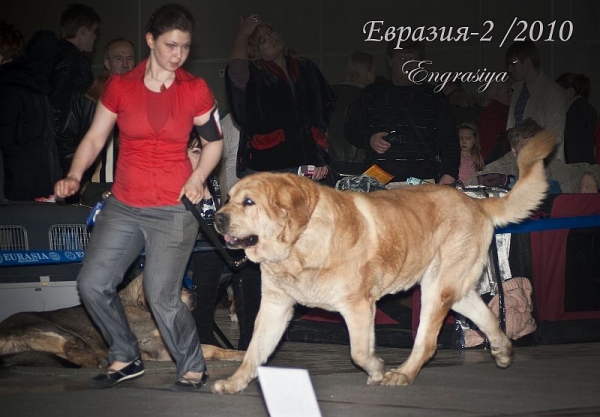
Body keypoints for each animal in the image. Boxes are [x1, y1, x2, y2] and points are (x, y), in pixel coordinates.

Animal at [0, 272, 245, 368]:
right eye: (176, 288)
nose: (195, 294)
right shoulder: (163, 349)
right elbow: (212, 348)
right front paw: (239, 354)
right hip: (51, 327)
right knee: (74, 349)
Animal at [212, 130, 556, 394]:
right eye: (228, 199)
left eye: (249, 202)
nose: (217, 218)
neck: (299, 243)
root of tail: (477, 203)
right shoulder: (275, 306)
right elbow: (253, 352)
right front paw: (233, 383)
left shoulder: (358, 305)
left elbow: (359, 352)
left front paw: (377, 370)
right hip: (452, 289)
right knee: (487, 317)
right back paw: (501, 350)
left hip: (436, 290)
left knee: (427, 342)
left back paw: (402, 374)